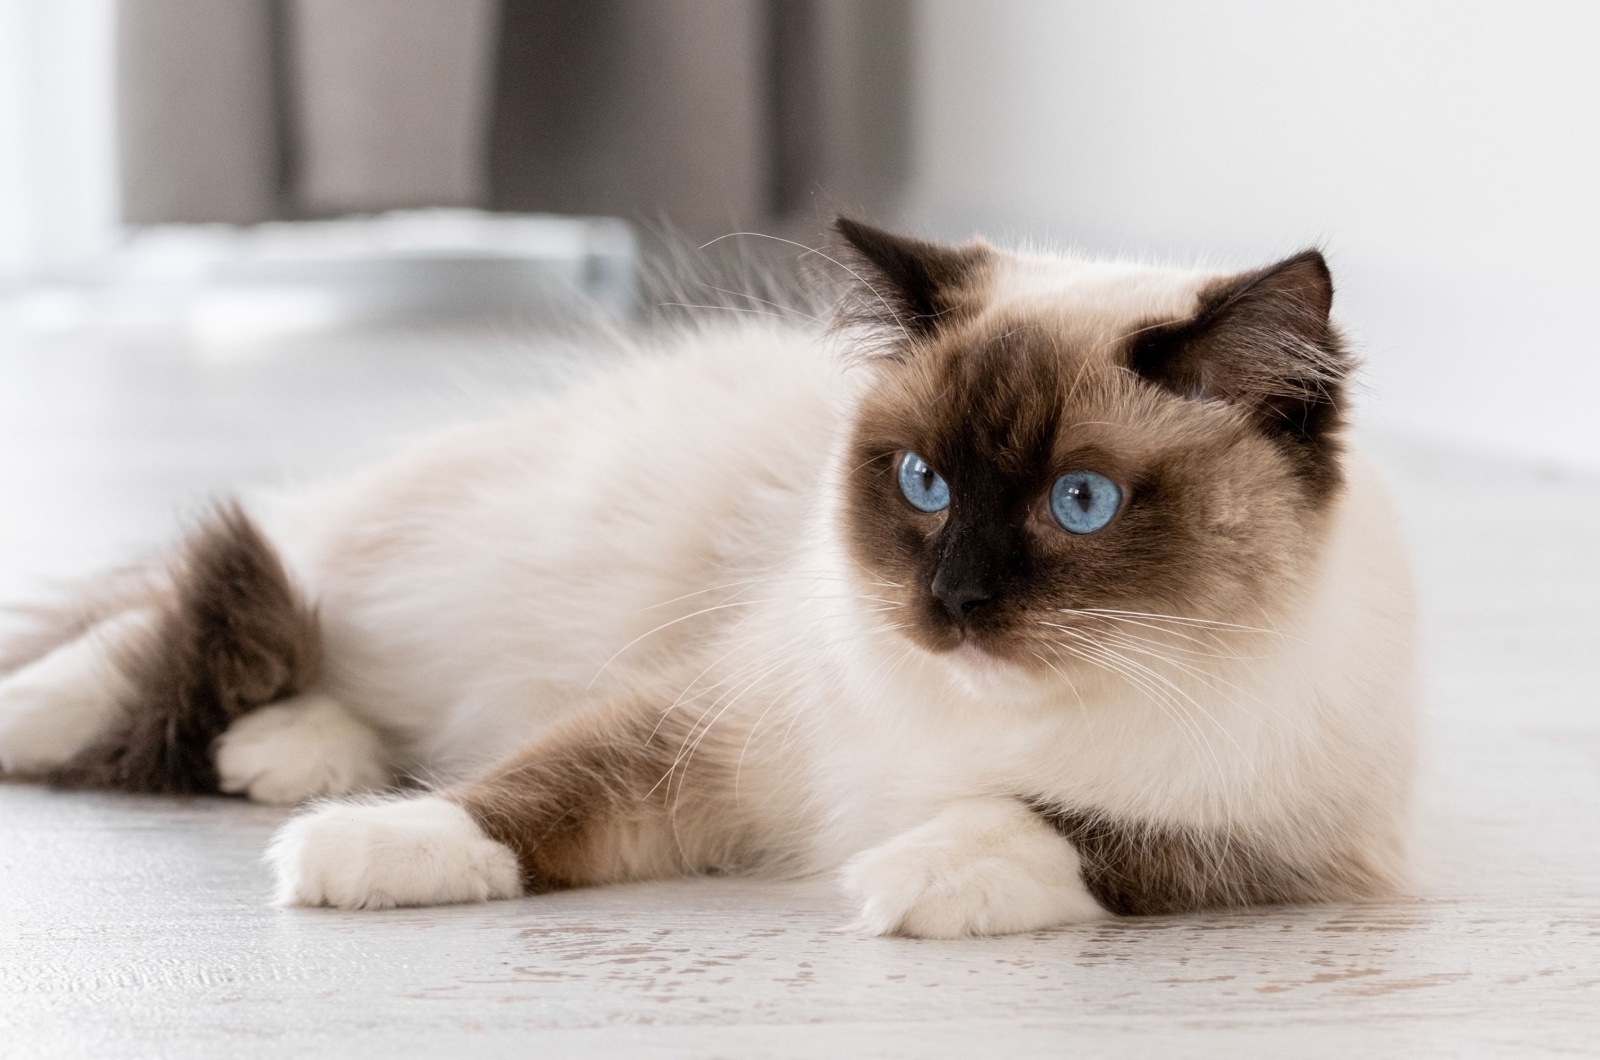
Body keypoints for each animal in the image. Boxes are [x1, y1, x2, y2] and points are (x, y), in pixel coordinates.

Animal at [0, 222, 1414, 941]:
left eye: (1080, 503)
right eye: (923, 484)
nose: (951, 603)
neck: (984, 711)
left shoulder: (1269, 845)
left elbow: (1069, 827)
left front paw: (914, 877)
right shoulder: (703, 728)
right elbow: (534, 788)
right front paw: (381, 849)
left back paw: (286, 754)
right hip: (411, 566)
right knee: (196, 608)